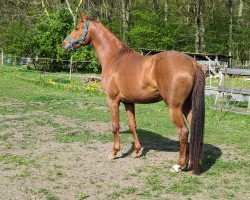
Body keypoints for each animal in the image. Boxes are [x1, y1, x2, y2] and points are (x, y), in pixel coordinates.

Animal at [62, 14, 205, 173]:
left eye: (77, 28)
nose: (64, 44)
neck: (114, 58)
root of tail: (193, 63)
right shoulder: (128, 102)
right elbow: (133, 125)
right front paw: (136, 151)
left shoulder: (112, 100)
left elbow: (115, 125)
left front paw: (114, 152)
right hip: (187, 107)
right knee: (194, 130)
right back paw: (191, 163)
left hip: (174, 107)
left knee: (183, 131)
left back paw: (178, 164)